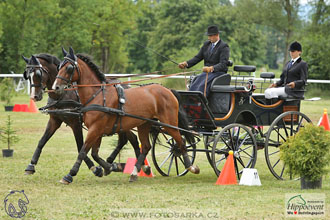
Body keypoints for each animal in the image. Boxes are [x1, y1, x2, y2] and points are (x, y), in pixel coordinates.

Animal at [52, 48, 200, 184]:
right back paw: (135, 172)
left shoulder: (95, 129)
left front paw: (70, 175)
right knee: (146, 146)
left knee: (180, 141)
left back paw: (191, 167)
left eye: (69, 68)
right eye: (59, 67)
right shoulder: (97, 131)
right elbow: (94, 154)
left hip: (169, 123)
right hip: (144, 124)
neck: (98, 95)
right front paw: (110, 167)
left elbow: (83, 151)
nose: (56, 88)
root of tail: (168, 90)